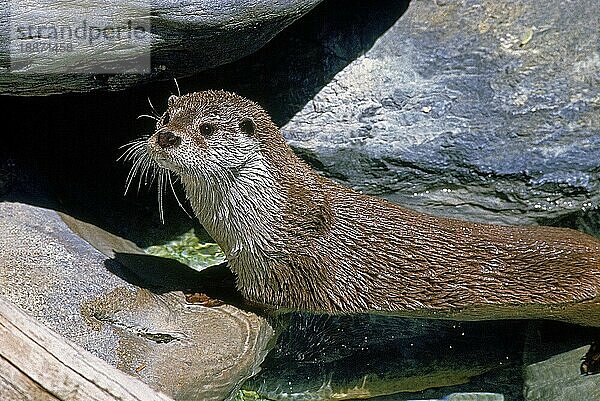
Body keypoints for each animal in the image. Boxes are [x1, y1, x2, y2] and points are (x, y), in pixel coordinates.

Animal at [122, 91, 600, 332]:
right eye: (165, 116)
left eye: (206, 128)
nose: (165, 137)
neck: (274, 217)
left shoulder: (297, 271)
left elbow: (267, 300)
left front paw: (213, 290)